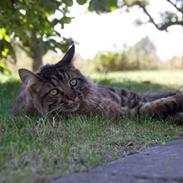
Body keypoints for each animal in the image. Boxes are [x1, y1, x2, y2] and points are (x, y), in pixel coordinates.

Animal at [12, 45, 183, 121]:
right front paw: (175, 105)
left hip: (127, 94)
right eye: (54, 91)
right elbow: (154, 107)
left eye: (73, 82)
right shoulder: (124, 113)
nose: (73, 97)